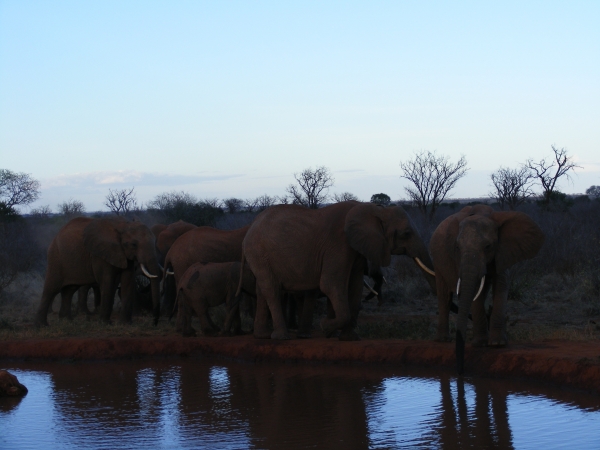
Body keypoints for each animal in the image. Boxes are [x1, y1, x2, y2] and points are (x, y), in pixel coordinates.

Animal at [34, 216, 162, 326]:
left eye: (155, 241)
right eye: (134, 244)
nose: (154, 323)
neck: (123, 225)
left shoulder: (126, 256)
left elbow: (128, 281)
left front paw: (126, 324)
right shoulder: (99, 254)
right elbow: (107, 282)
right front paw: (106, 323)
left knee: (69, 290)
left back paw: (67, 321)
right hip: (56, 258)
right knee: (51, 289)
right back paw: (42, 326)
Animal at [240, 202, 436, 340]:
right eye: (406, 234)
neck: (373, 209)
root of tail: (251, 225)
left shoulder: (356, 250)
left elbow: (354, 287)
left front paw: (350, 339)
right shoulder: (339, 244)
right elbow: (330, 284)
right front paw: (325, 328)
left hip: (259, 256)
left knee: (263, 289)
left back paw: (262, 336)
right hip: (258, 252)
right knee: (272, 290)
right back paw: (282, 337)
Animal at [428, 204, 548, 372]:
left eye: (488, 246)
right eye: (457, 247)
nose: (460, 371)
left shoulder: (504, 250)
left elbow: (501, 284)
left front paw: (497, 344)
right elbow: (475, 290)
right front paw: (480, 344)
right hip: (437, 261)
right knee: (444, 295)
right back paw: (443, 340)